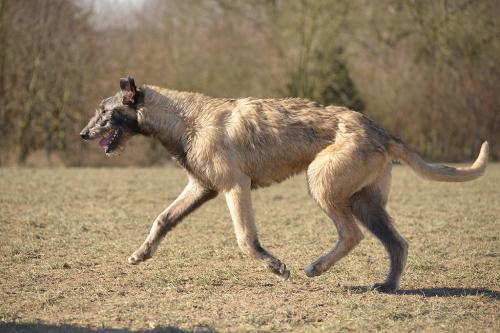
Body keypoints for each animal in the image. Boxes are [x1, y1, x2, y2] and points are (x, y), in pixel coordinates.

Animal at [79, 76, 488, 292]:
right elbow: (163, 219)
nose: (83, 134)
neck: (185, 118)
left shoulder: (235, 186)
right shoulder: (201, 187)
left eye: (105, 111)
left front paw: (274, 266)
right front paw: (141, 253)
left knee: (351, 235)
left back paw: (317, 268)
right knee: (396, 243)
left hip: (323, 184)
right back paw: (387, 285)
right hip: (364, 201)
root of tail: (381, 131)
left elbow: (245, 239)